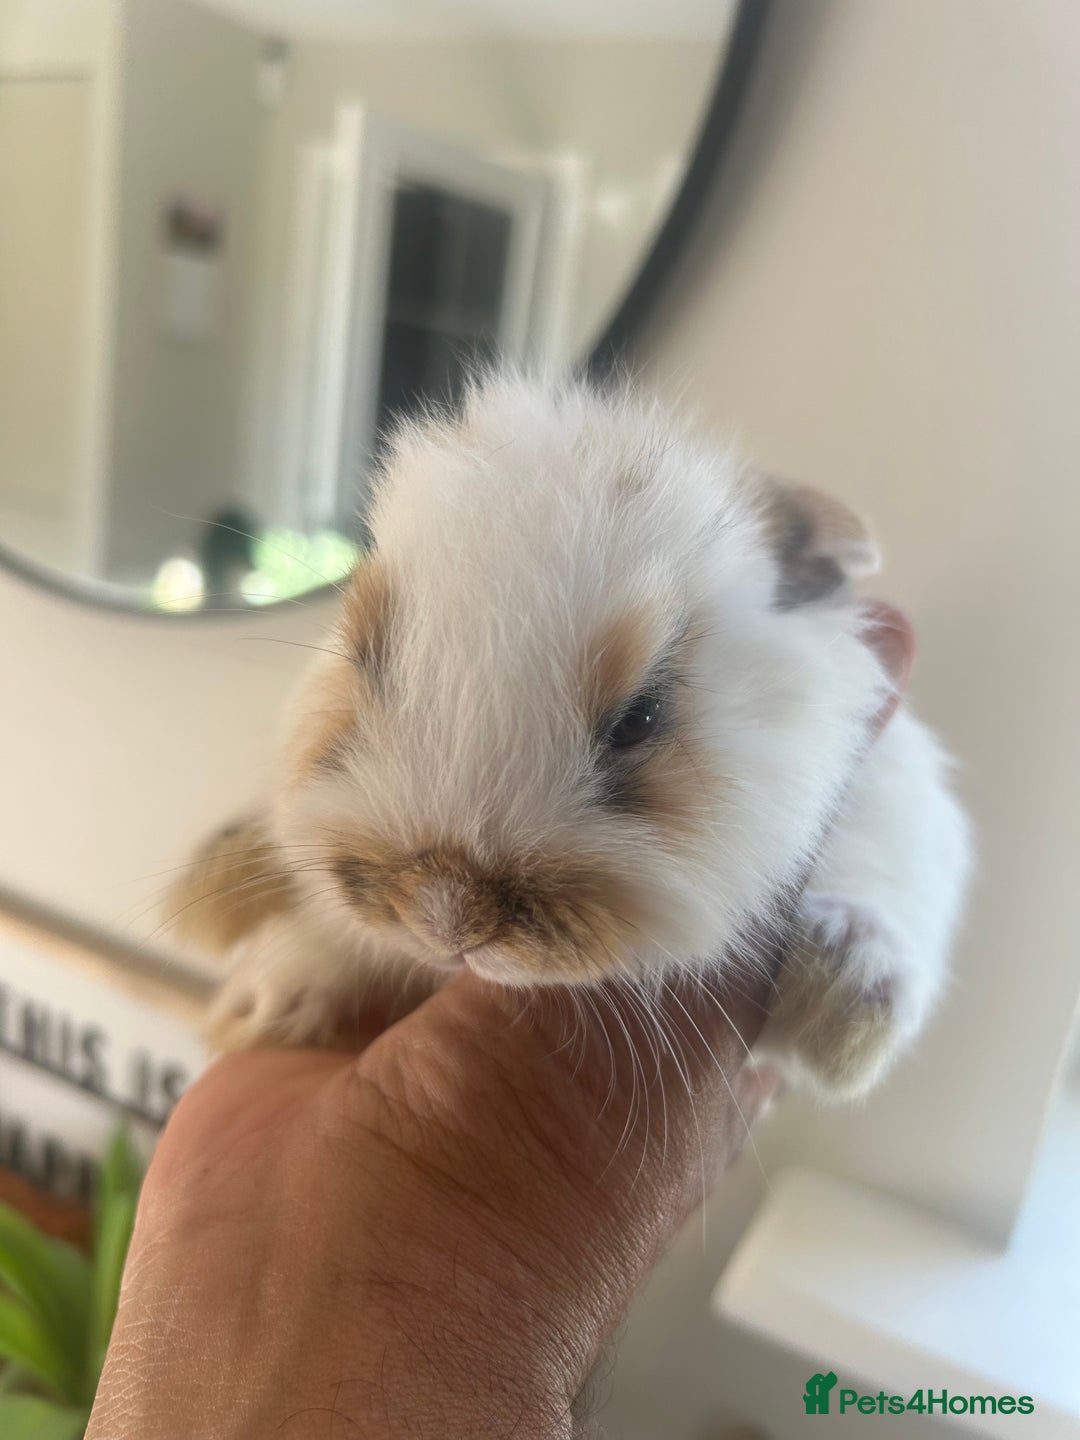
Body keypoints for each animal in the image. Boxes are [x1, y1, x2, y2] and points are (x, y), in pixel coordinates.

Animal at [172, 374, 971, 1099]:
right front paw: (264, 994)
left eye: (640, 715)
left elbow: (876, 884)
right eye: (363, 659)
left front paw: (843, 1013)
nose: (447, 916)